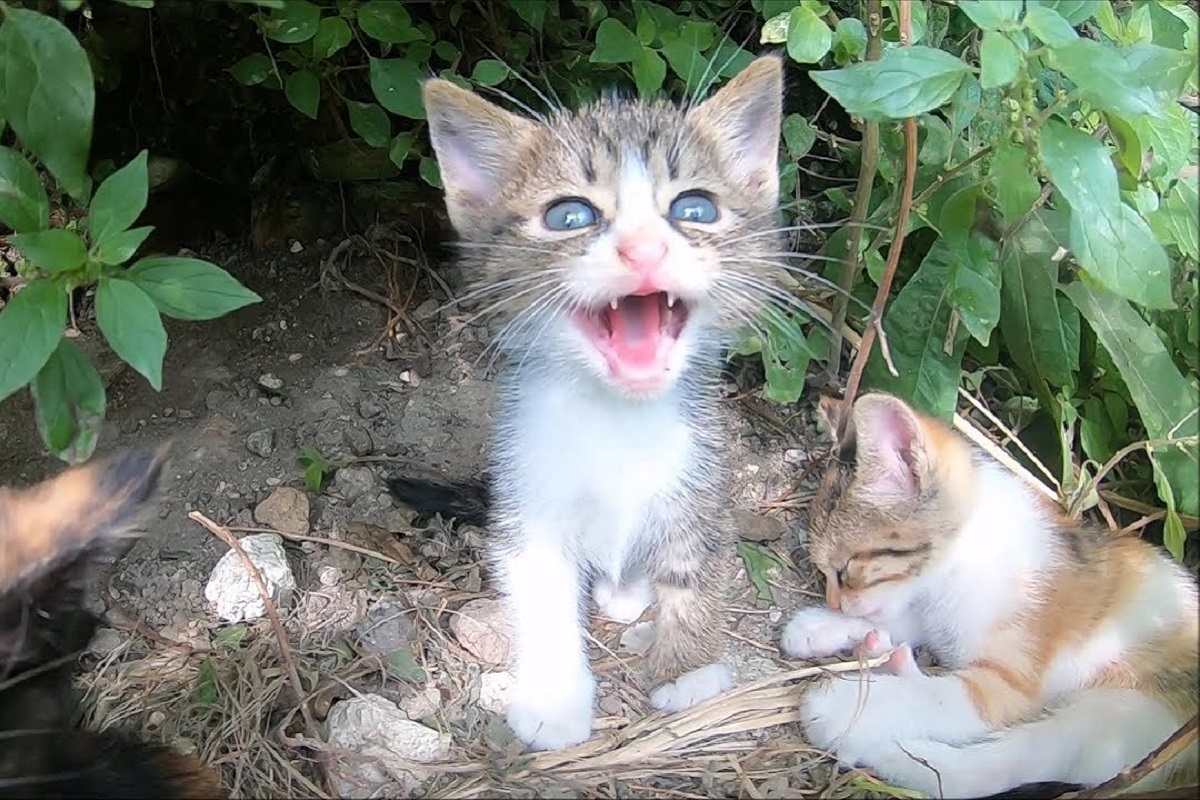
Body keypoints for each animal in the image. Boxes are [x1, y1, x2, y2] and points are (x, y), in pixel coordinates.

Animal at [393, 57, 787, 753]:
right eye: (569, 217)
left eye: (695, 208)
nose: (644, 250)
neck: (617, 418)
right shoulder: (527, 498)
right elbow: (542, 593)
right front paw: (554, 699)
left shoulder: (701, 475)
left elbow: (696, 562)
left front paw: (688, 667)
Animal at [782, 393, 1195, 800]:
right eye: (824, 573)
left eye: (846, 569)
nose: (835, 603)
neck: (958, 568)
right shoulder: (931, 614)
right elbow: (900, 618)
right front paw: (821, 627)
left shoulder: (1010, 679)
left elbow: (940, 700)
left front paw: (846, 706)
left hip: (1122, 716)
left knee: (997, 767)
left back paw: (888, 745)